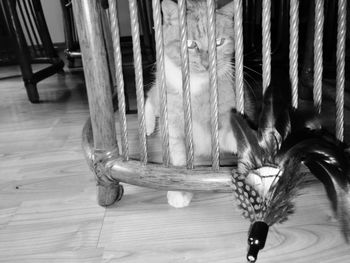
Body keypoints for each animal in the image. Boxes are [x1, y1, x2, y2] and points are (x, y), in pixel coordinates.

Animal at [144, 0, 256, 209]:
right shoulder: (173, 126)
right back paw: (147, 126)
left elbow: (227, 132)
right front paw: (179, 192)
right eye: (190, 44)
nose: (206, 64)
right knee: (150, 96)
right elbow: (178, 162)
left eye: (219, 42)